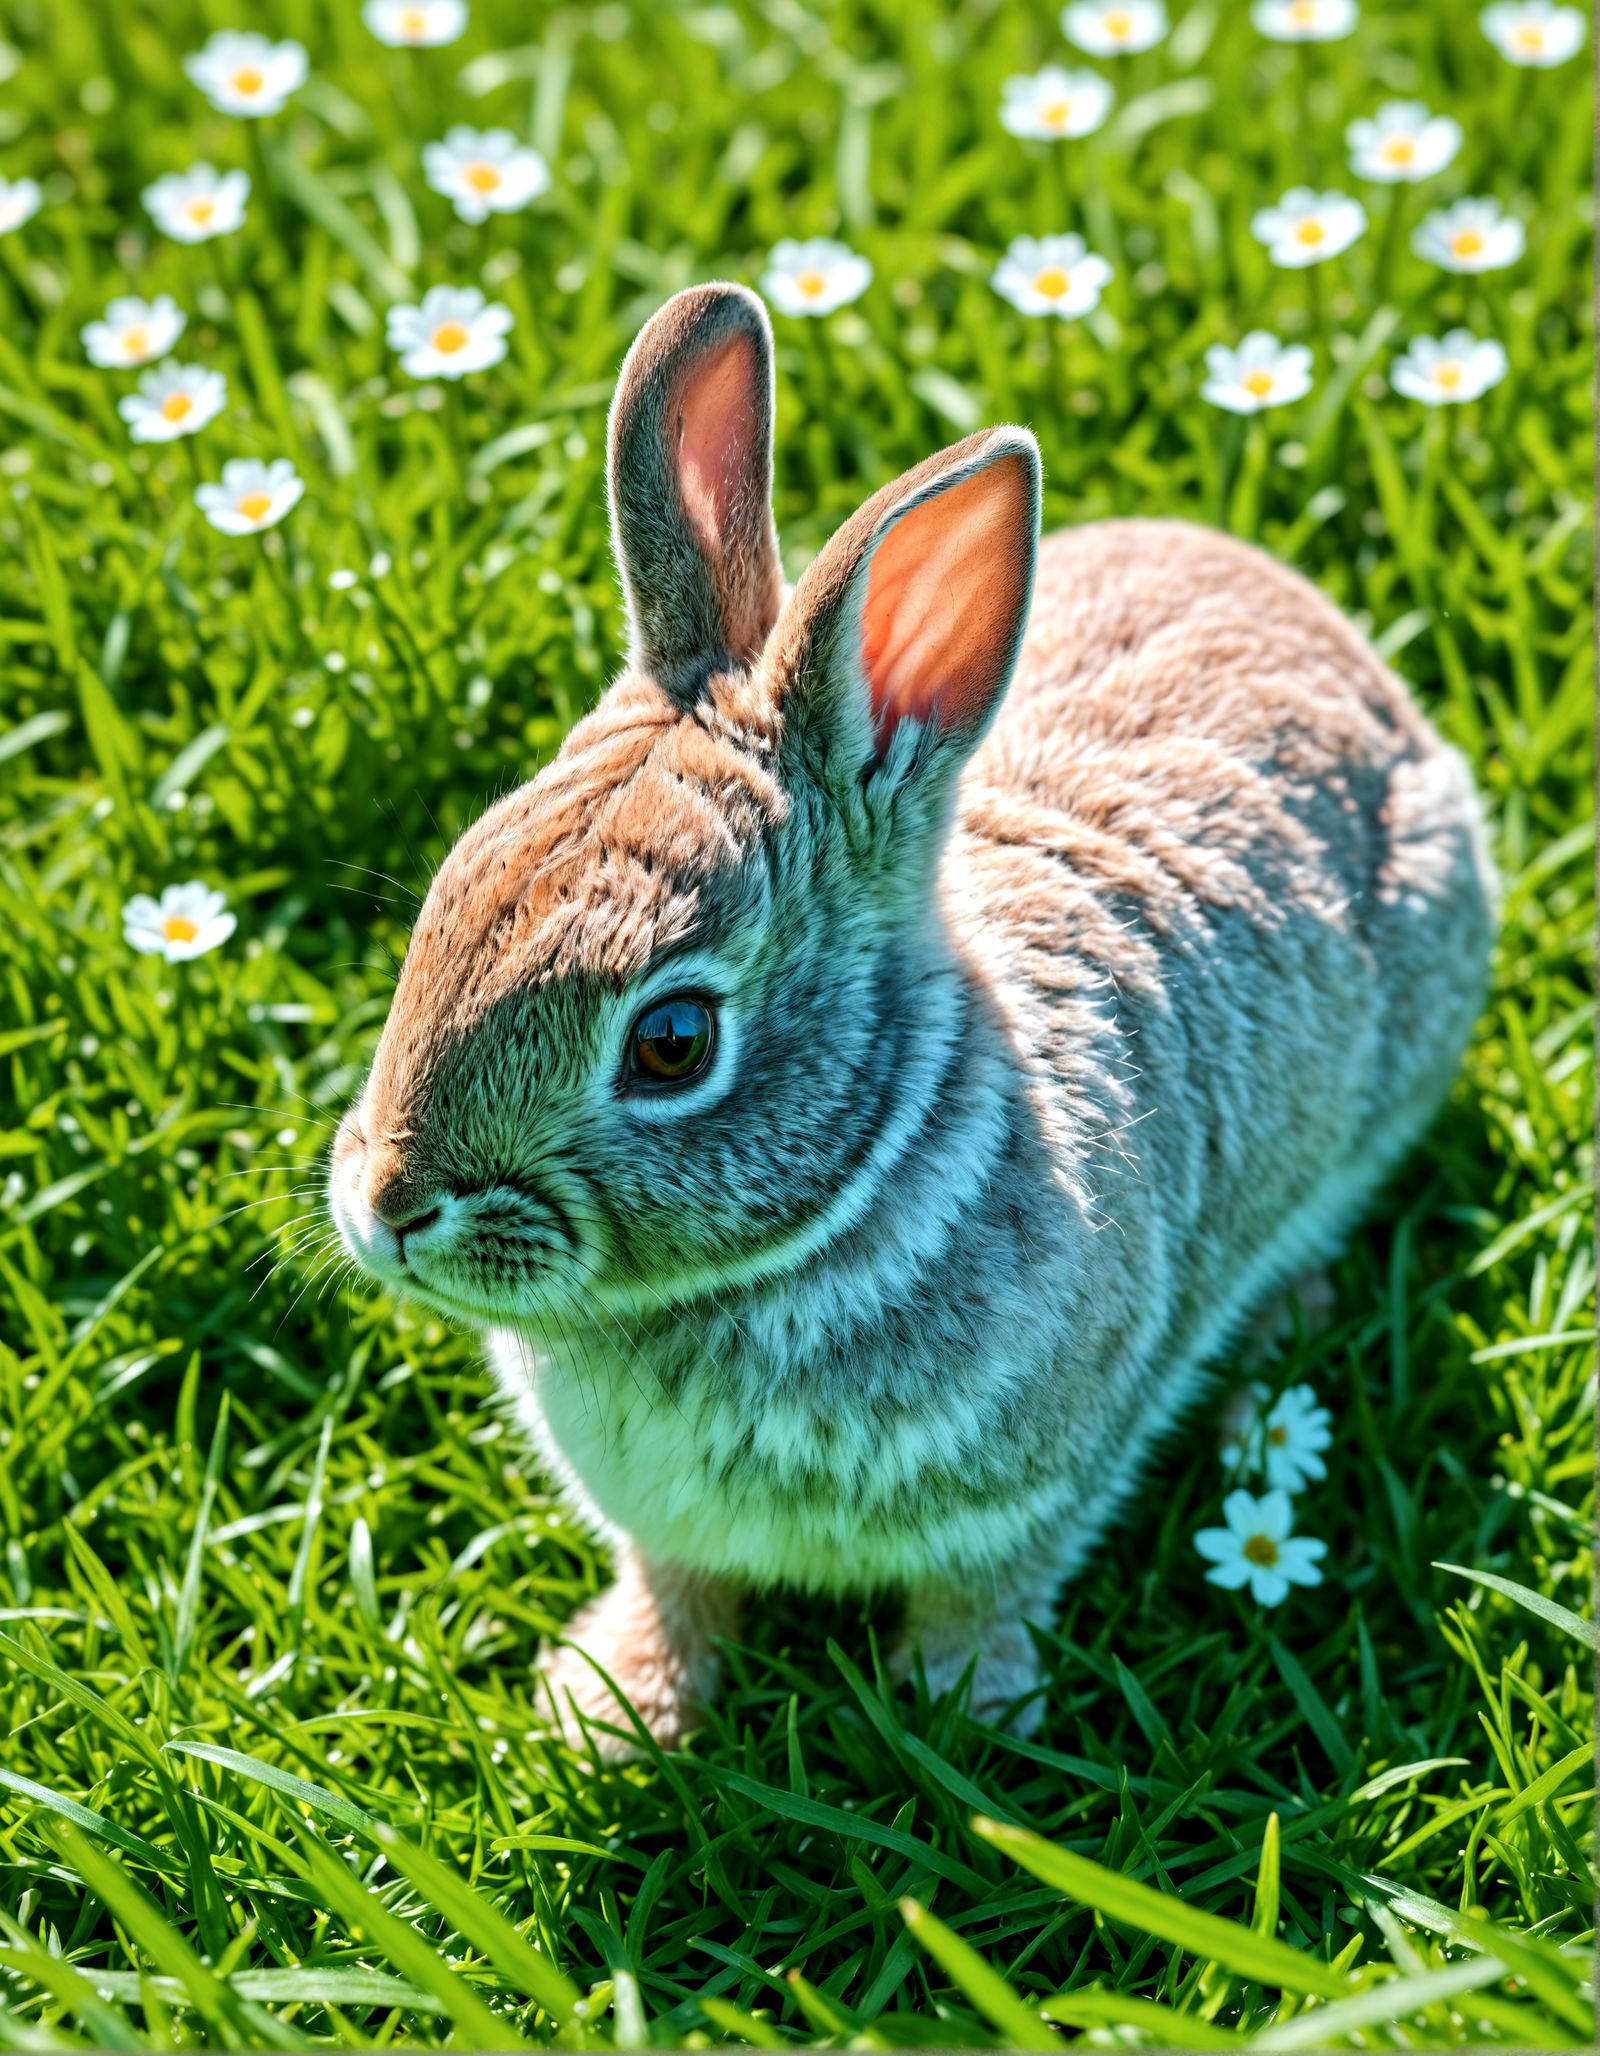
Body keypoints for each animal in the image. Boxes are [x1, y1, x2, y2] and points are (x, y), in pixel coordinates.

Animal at [329, 281, 1495, 1750]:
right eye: (449, 892)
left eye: (671, 1044)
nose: (391, 1206)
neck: (836, 1205)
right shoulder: (665, 1529)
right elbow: (674, 1585)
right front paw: (615, 1705)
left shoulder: (1036, 1492)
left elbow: (982, 1594)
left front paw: (959, 1713)